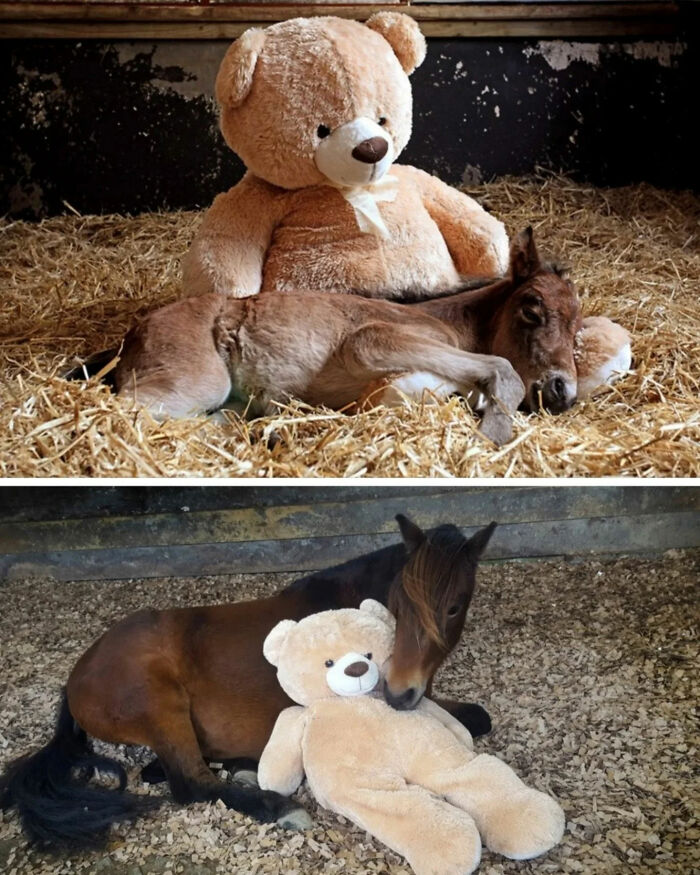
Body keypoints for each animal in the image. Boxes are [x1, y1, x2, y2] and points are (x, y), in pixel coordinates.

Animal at [0, 514, 496, 852]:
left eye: (454, 607)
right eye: (401, 601)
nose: (398, 692)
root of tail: (76, 677)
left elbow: (480, 717)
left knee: (165, 769)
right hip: (159, 703)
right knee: (190, 783)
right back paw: (279, 807)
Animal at [71, 227, 580, 447]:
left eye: (577, 329)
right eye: (531, 308)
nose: (563, 391)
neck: (450, 322)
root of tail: (132, 333)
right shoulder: (373, 341)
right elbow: (501, 371)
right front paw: (494, 431)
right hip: (195, 382)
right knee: (125, 412)